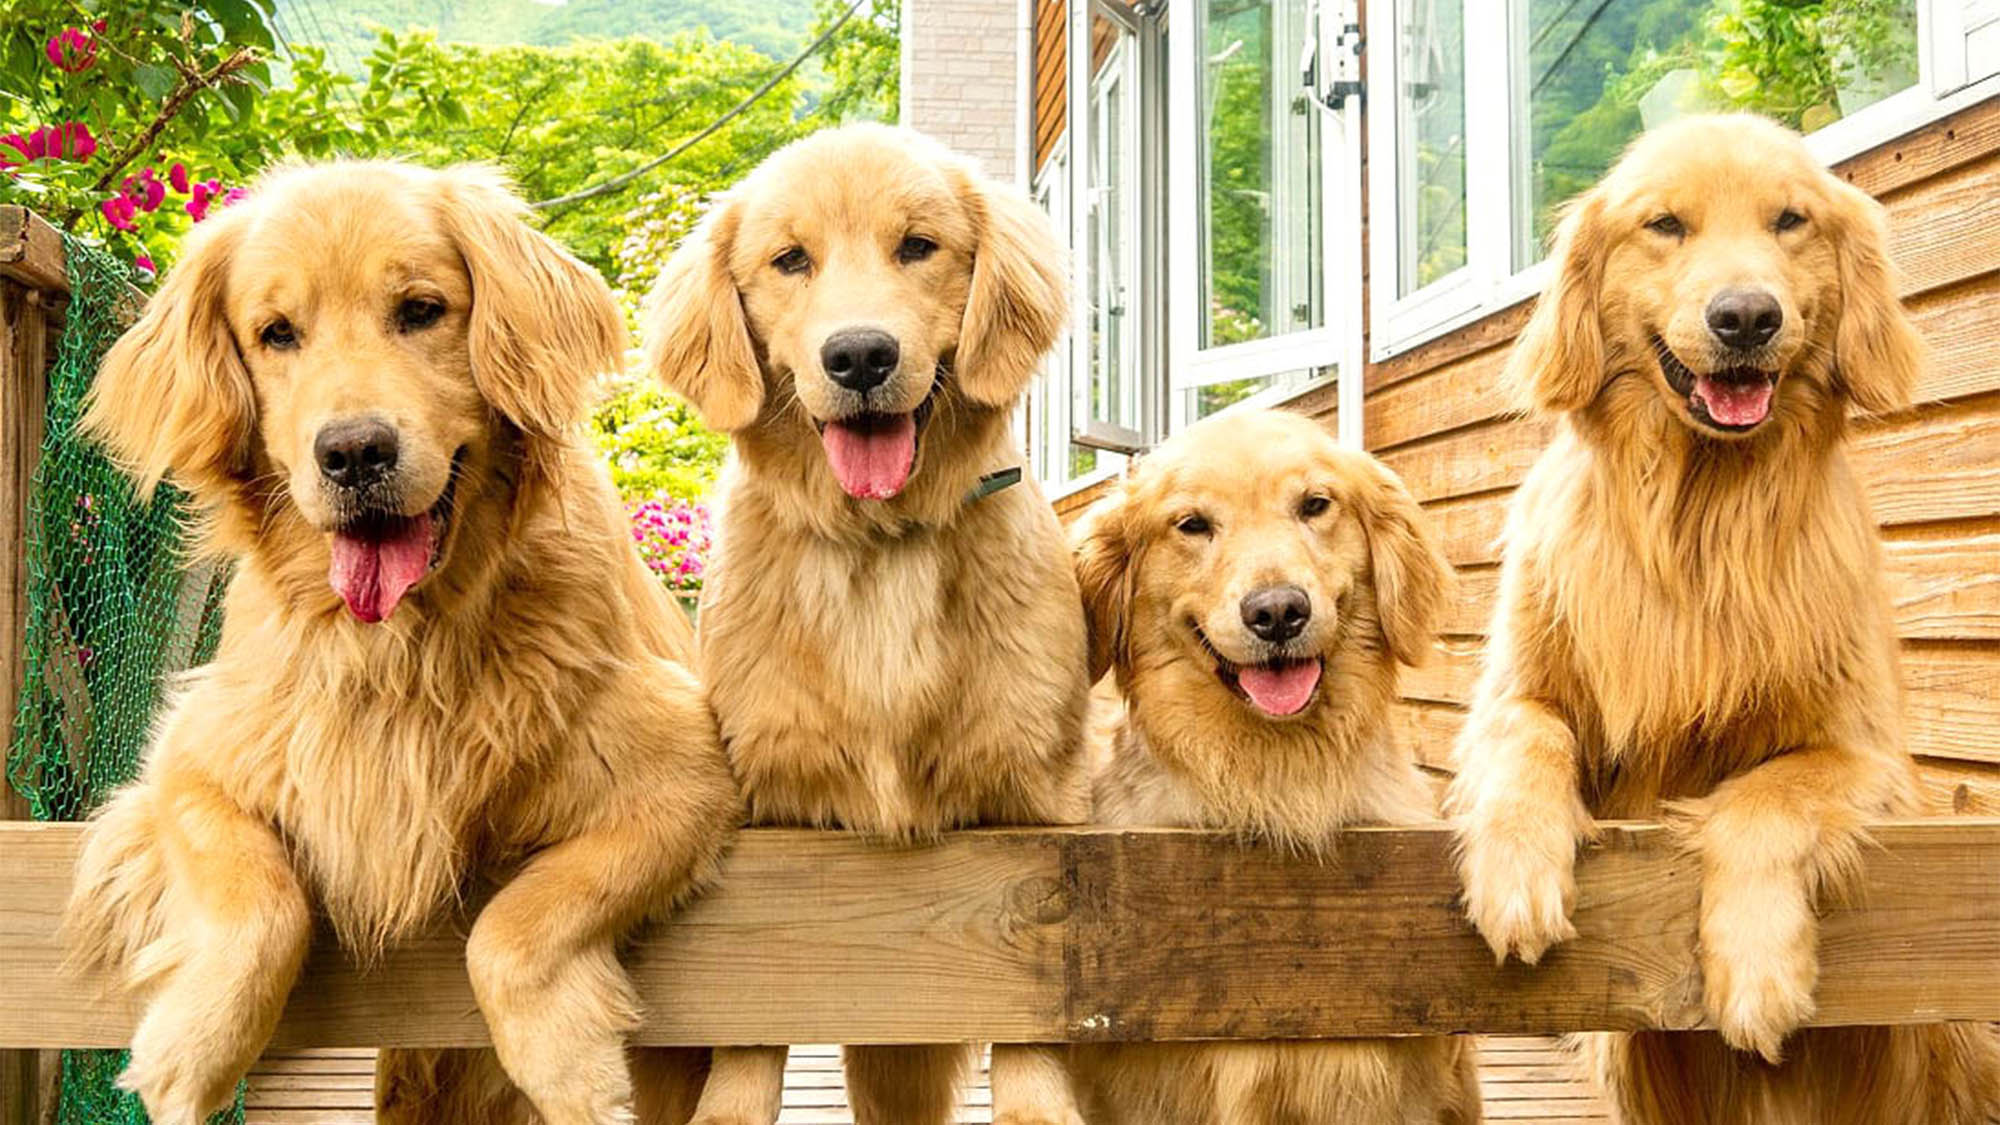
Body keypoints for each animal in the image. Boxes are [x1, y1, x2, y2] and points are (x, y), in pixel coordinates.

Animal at [70, 158, 748, 1120]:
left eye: (422, 309)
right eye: (277, 333)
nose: (355, 452)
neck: (403, 647)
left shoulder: (684, 768)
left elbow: (512, 926)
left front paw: (568, 1064)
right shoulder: (194, 754)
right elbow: (256, 901)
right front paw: (191, 1048)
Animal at [644, 124, 1096, 1120]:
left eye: (918, 247)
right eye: (790, 260)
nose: (859, 357)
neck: (881, 543)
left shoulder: (1036, 815)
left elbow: (1030, 1024)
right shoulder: (774, 816)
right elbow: (748, 1036)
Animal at [1448, 109, 2000, 1112]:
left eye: (1789, 220)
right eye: (1665, 225)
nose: (1746, 317)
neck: (1703, 516)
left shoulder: (1870, 760)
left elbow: (1763, 794)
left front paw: (1757, 969)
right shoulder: (1511, 692)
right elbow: (1529, 739)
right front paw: (1515, 874)